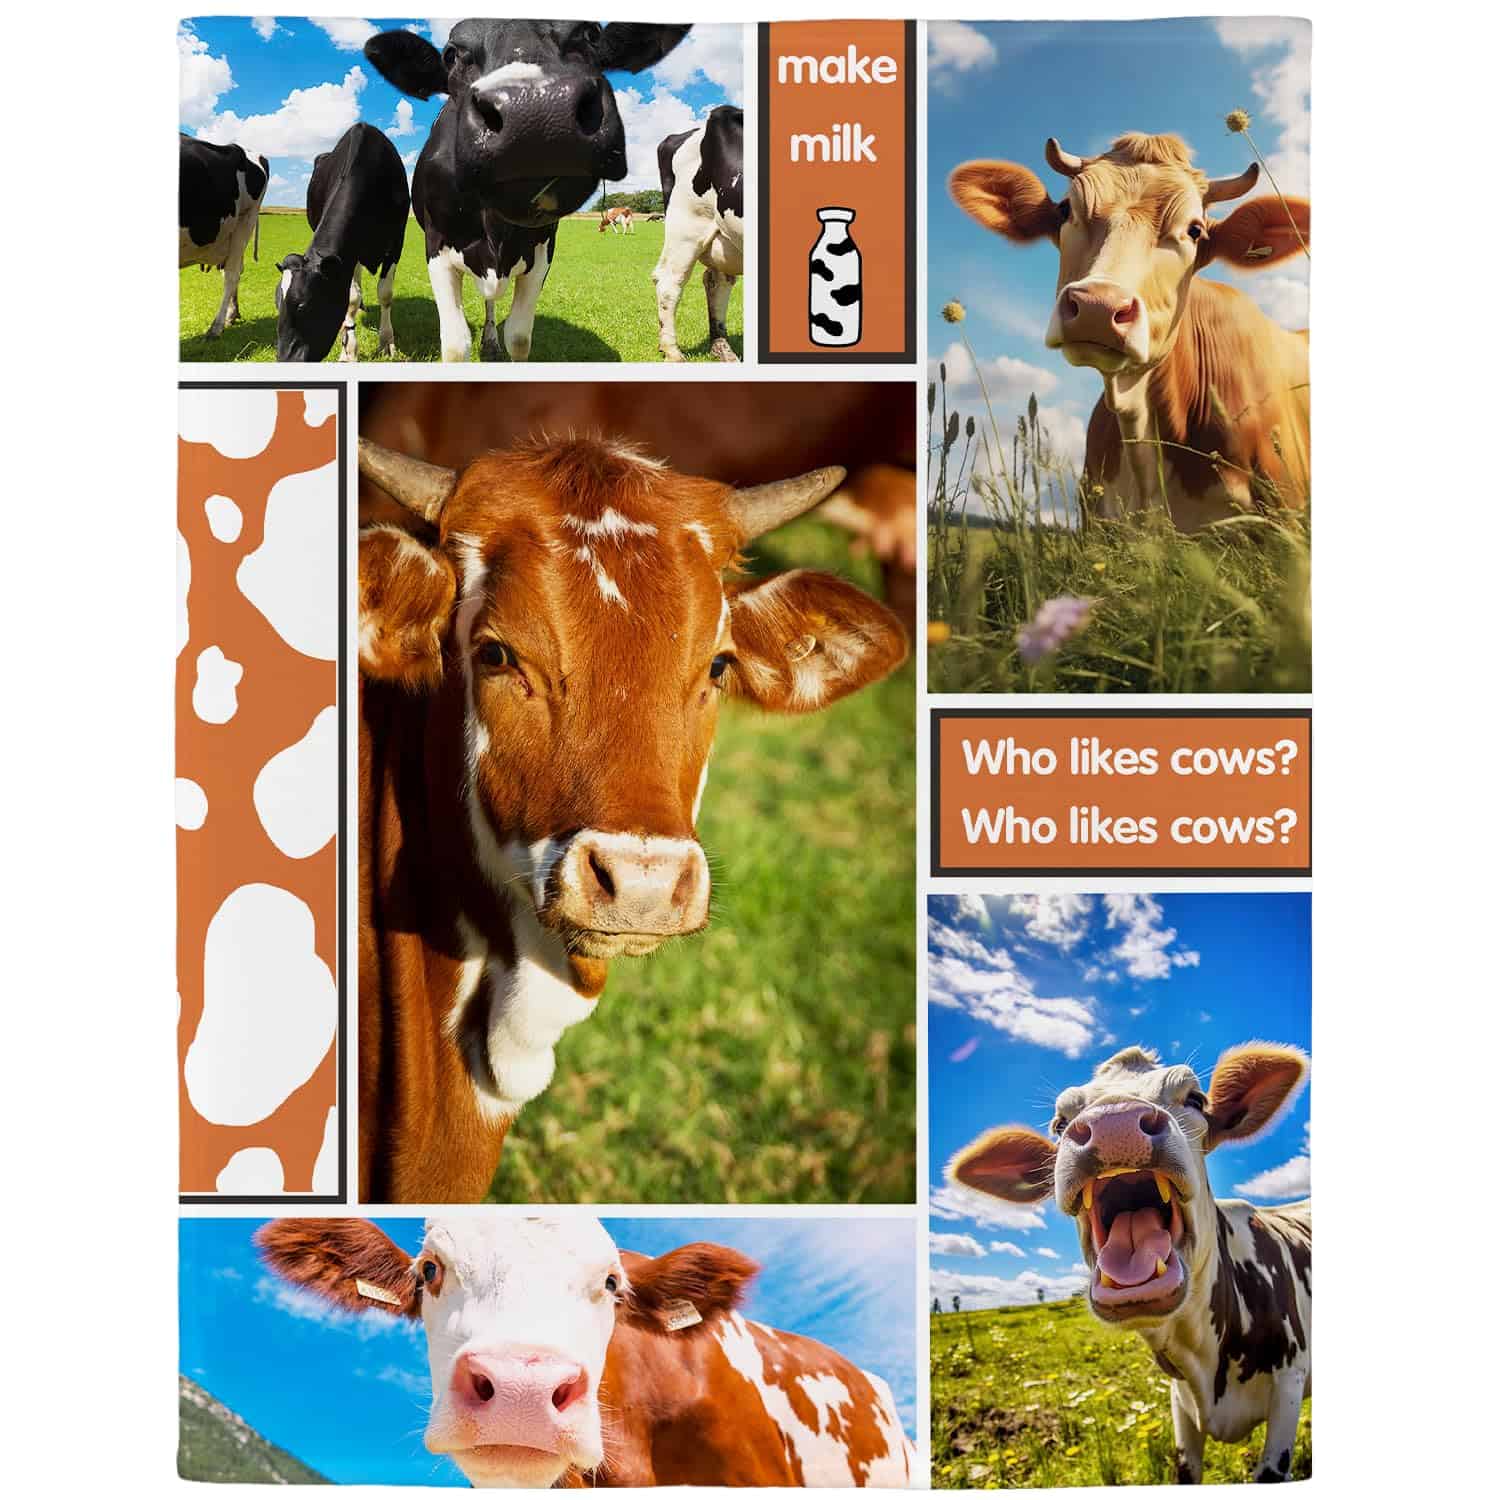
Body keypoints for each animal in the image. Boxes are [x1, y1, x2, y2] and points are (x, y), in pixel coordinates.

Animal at [274, 124, 411, 363]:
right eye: (277, 304)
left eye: (303, 305)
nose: (284, 360)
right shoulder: (349, 253)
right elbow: (351, 298)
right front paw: (348, 350)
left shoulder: (396, 242)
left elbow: (385, 293)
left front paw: (387, 342)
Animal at [360, 20, 690, 362]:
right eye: (451, 55)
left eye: (591, 35)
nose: (535, 113)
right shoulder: (436, 247)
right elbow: (454, 345)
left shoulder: (543, 252)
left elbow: (518, 338)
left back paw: (490, 341)